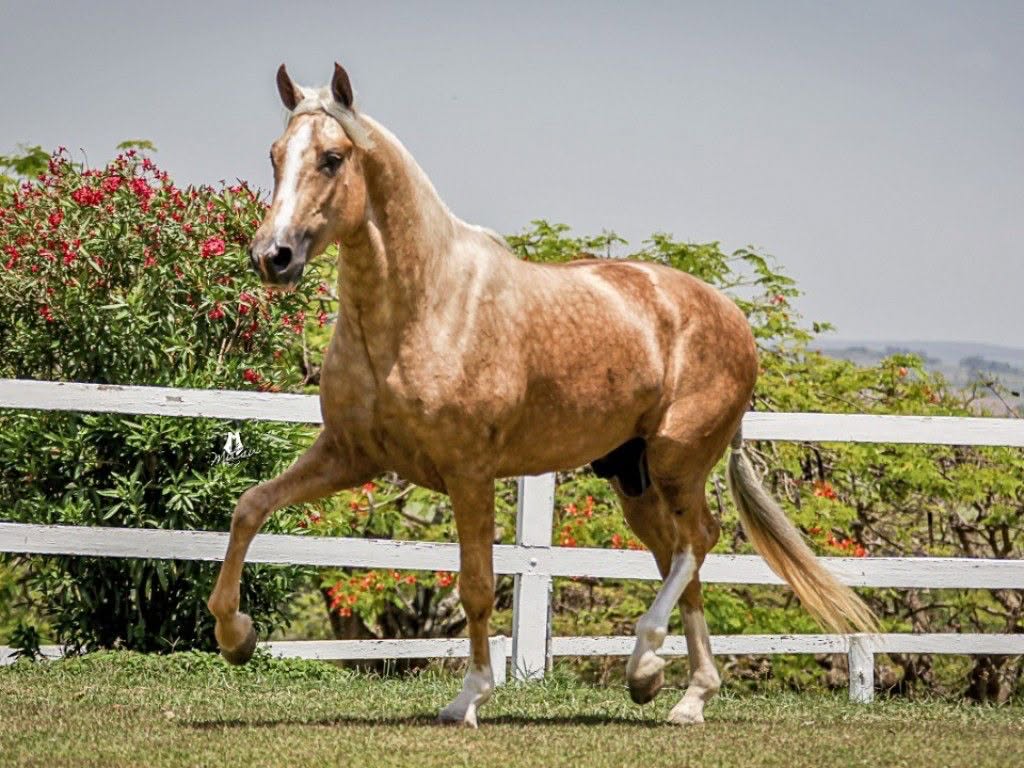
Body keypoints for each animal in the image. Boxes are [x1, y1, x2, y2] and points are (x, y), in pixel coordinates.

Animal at [207, 62, 876, 727]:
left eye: (332, 157)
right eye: (275, 154)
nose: (272, 256)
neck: (425, 306)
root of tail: (733, 320)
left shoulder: (469, 473)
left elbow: (477, 585)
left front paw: (470, 698)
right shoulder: (350, 454)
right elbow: (250, 507)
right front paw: (236, 636)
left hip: (676, 461)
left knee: (697, 544)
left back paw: (651, 667)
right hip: (632, 478)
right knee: (677, 557)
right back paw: (680, 691)